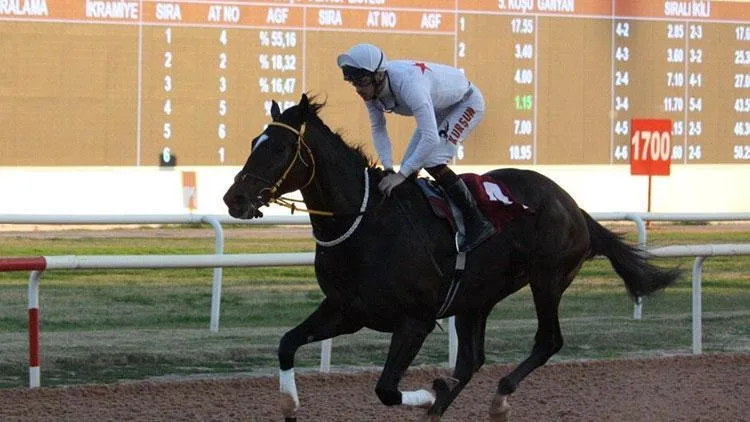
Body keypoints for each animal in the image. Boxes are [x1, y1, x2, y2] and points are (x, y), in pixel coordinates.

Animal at [222, 94, 680, 420]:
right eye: (254, 142)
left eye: (280, 148)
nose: (234, 199)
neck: (365, 224)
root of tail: (573, 205)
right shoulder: (347, 310)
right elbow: (286, 343)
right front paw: (289, 405)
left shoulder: (415, 320)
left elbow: (386, 389)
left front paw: (431, 393)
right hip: (476, 297)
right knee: (473, 358)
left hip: (548, 278)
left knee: (548, 340)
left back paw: (497, 399)